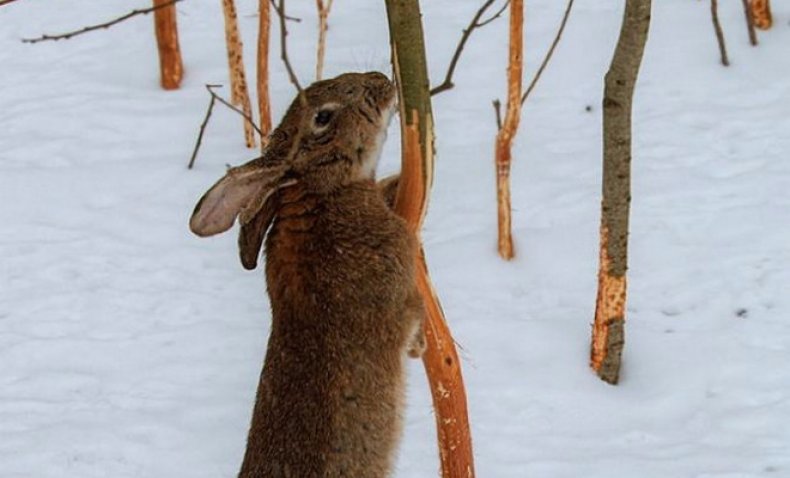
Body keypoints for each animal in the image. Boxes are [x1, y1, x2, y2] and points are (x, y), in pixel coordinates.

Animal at [189, 72, 426, 478]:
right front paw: (422, 346)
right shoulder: (396, 297)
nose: (381, 80)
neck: (317, 195)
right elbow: (412, 317)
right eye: (323, 118)